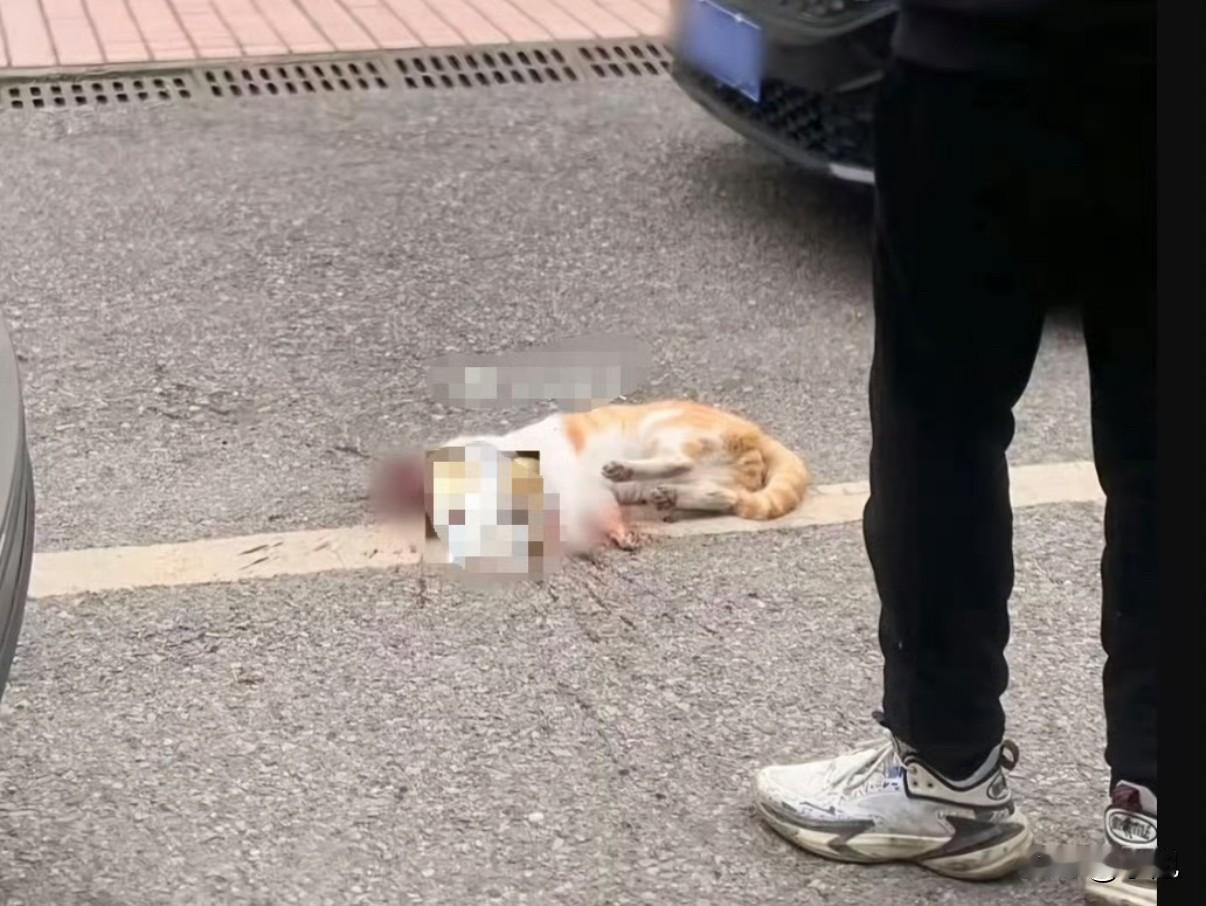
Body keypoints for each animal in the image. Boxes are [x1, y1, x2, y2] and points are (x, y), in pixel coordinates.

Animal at [374, 400, 811, 557]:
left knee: (679, 460)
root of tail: (754, 430)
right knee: (723, 494)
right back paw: (672, 495)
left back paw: (632, 470)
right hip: (720, 476)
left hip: (664, 427)